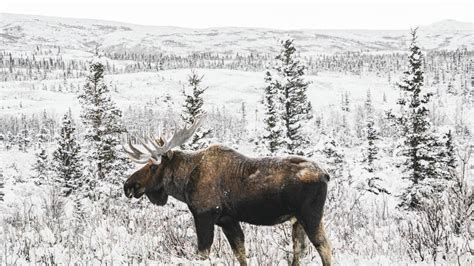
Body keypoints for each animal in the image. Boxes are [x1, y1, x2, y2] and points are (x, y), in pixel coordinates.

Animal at [124, 116, 332, 266]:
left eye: (153, 167)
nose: (128, 186)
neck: (184, 183)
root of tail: (325, 175)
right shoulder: (228, 220)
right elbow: (240, 254)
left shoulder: (205, 215)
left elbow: (203, 253)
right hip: (297, 220)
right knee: (299, 249)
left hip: (310, 216)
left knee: (325, 248)